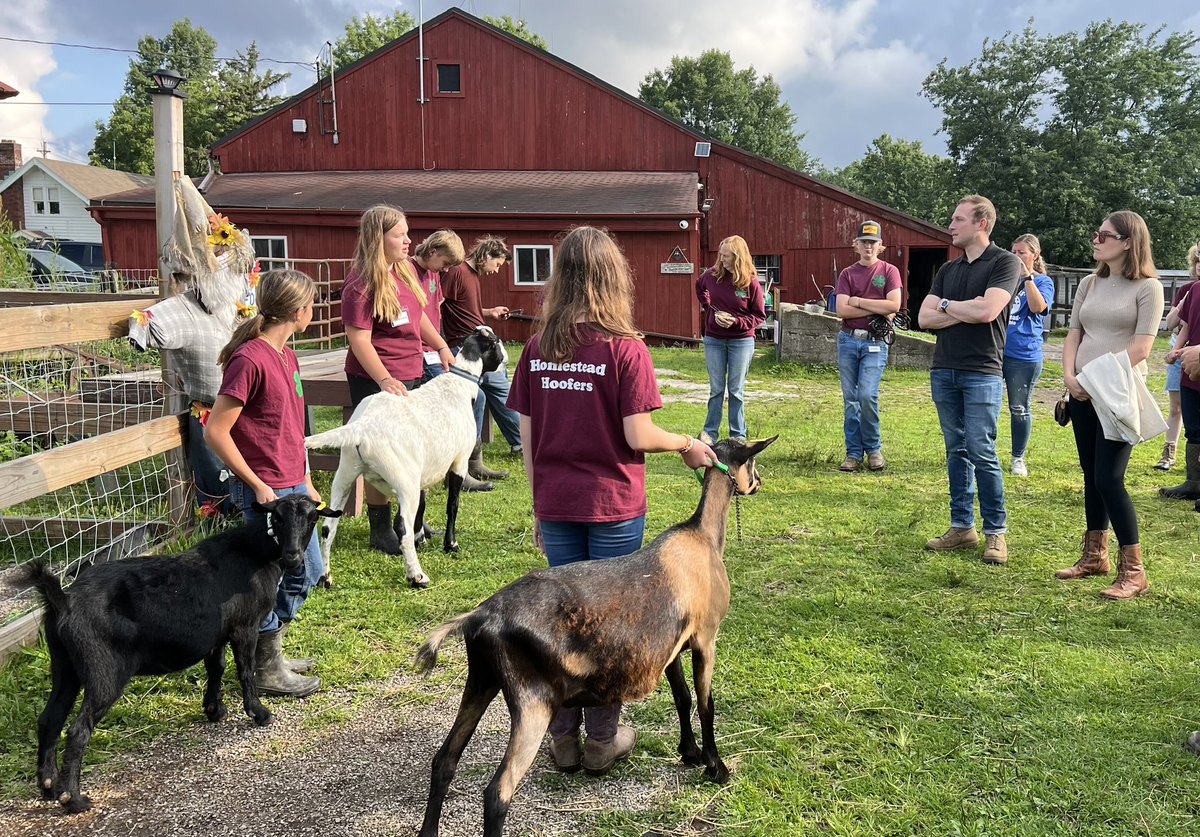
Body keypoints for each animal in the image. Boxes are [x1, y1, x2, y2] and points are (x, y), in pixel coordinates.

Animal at [23, 491, 343, 810]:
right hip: (104, 669)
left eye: (311, 518)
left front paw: (214, 710)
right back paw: (73, 798)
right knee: (78, 730)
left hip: (65, 664)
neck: (254, 554)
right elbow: (245, 670)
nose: (293, 556)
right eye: (277, 517)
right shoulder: (244, 626)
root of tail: (63, 601)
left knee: (50, 719)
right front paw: (259, 713)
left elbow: (217, 667)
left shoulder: (216, 633)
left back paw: (48, 785)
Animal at [304, 326, 506, 587]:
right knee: (402, 527)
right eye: (496, 342)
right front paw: (450, 545)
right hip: (403, 480)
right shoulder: (458, 462)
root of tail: (362, 426)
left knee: (329, 526)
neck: (457, 386)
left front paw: (423, 539)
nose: (506, 360)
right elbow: (452, 505)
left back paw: (325, 577)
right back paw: (417, 576)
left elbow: (423, 508)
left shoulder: (424, 473)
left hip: (346, 474)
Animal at [417, 434, 782, 829]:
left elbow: (682, 698)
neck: (702, 537)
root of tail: (482, 615)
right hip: (532, 702)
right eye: (751, 461)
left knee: (444, 761)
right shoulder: (705, 638)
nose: (758, 484)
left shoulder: (670, 645)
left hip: (482, 680)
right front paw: (716, 767)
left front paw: (689, 752)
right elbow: (705, 704)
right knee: (498, 792)